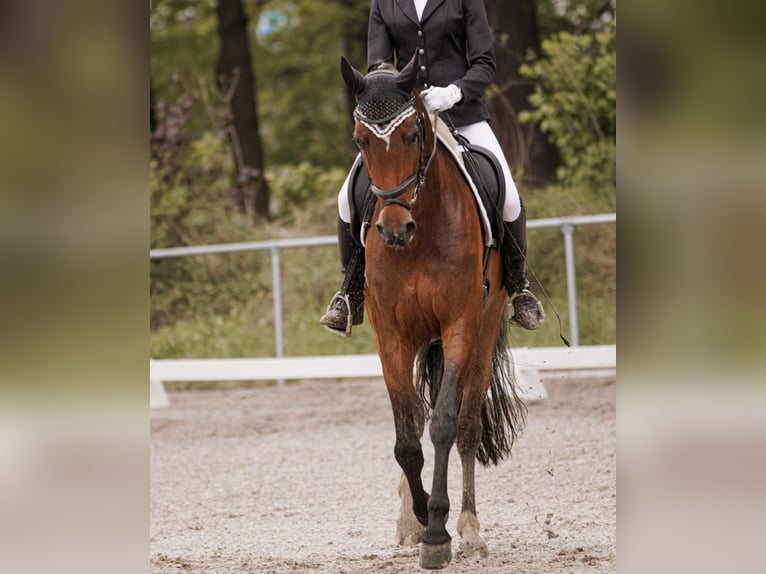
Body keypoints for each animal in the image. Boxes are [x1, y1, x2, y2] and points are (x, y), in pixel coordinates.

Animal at [342, 57, 528, 572]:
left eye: (410, 136)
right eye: (360, 141)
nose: (393, 230)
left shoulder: (461, 325)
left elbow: (444, 425)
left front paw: (438, 532)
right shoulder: (390, 336)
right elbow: (407, 438)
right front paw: (421, 516)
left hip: (486, 328)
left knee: (467, 426)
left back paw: (469, 528)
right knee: (418, 417)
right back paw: (409, 519)